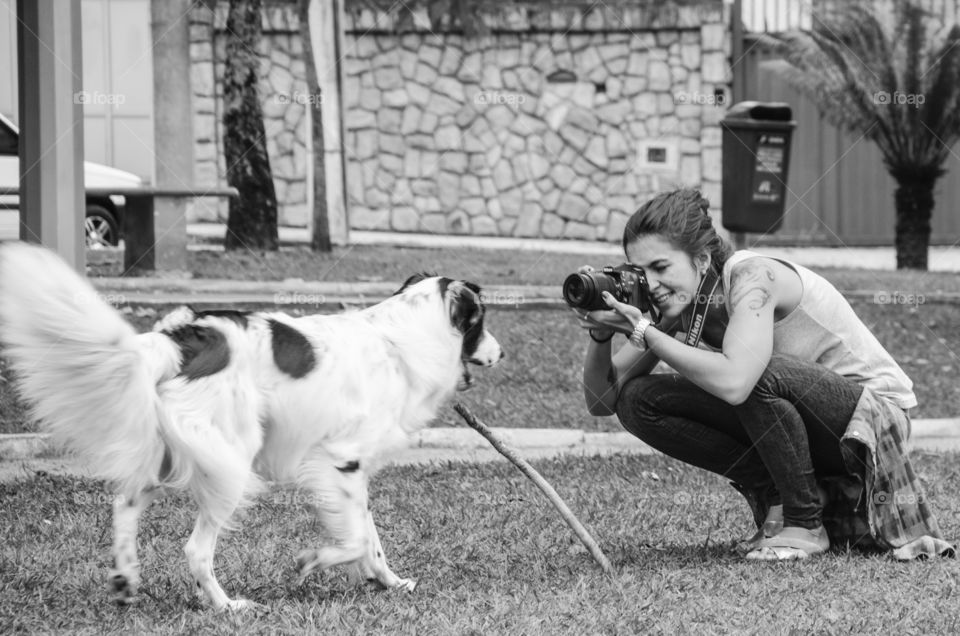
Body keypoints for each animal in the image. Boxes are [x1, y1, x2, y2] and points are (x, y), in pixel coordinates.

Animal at [0, 241, 506, 608]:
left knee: (125, 501)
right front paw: (313, 562)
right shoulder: (339, 461)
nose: (500, 353)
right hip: (231, 463)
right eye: (481, 321)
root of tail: (184, 339)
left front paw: (389, 582)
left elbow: (370, 539)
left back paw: (126, 577)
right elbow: (359, 537)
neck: (401, 339)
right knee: (195, 549)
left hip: (180, 455)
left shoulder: (352, 473)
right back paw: (226, 607)